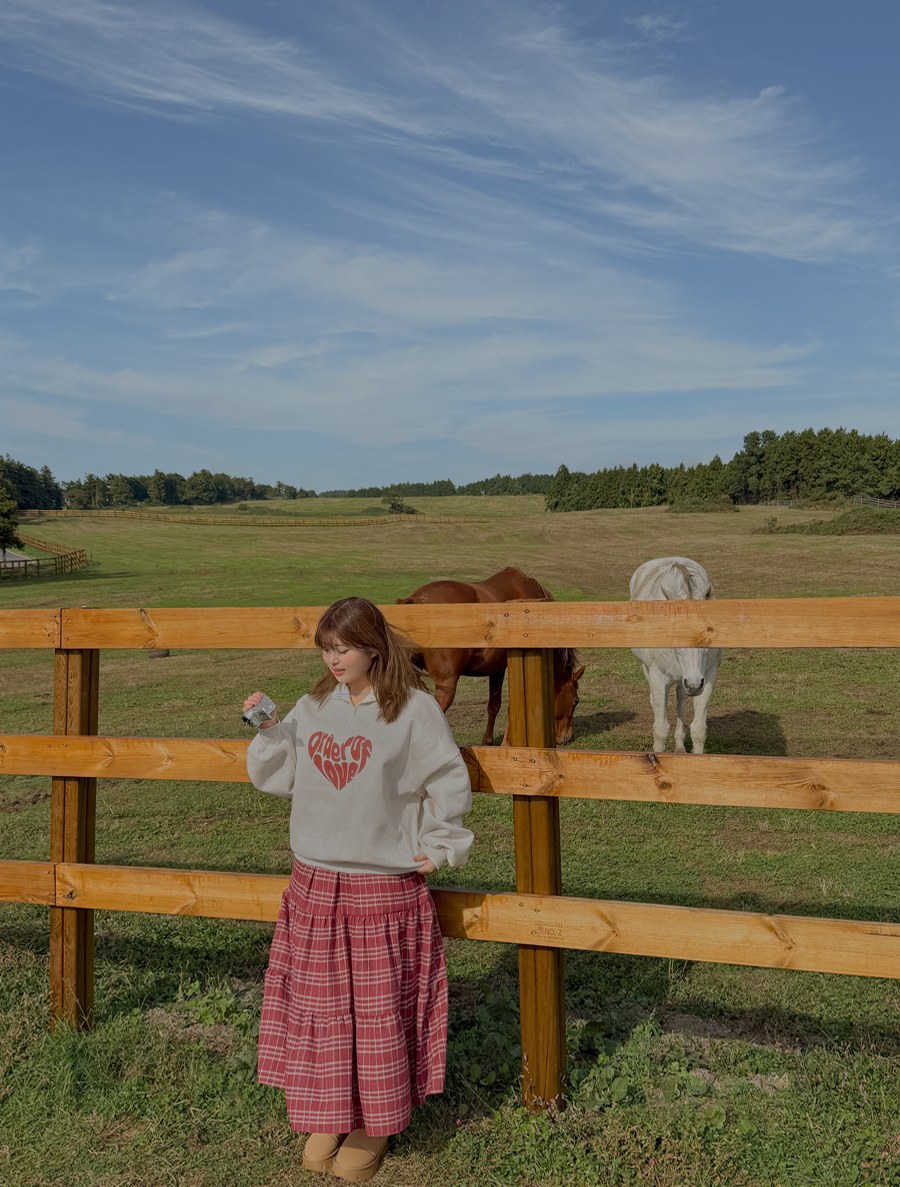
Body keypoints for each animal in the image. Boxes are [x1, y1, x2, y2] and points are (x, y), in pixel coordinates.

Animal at [636, 557, 726, 759]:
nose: (694, 684)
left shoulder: (708, 676)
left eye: (708, 632)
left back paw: (679, 746)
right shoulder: (658, 677)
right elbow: (660, 729)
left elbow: (698, 730)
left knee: (681, 699)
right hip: (649, 669)